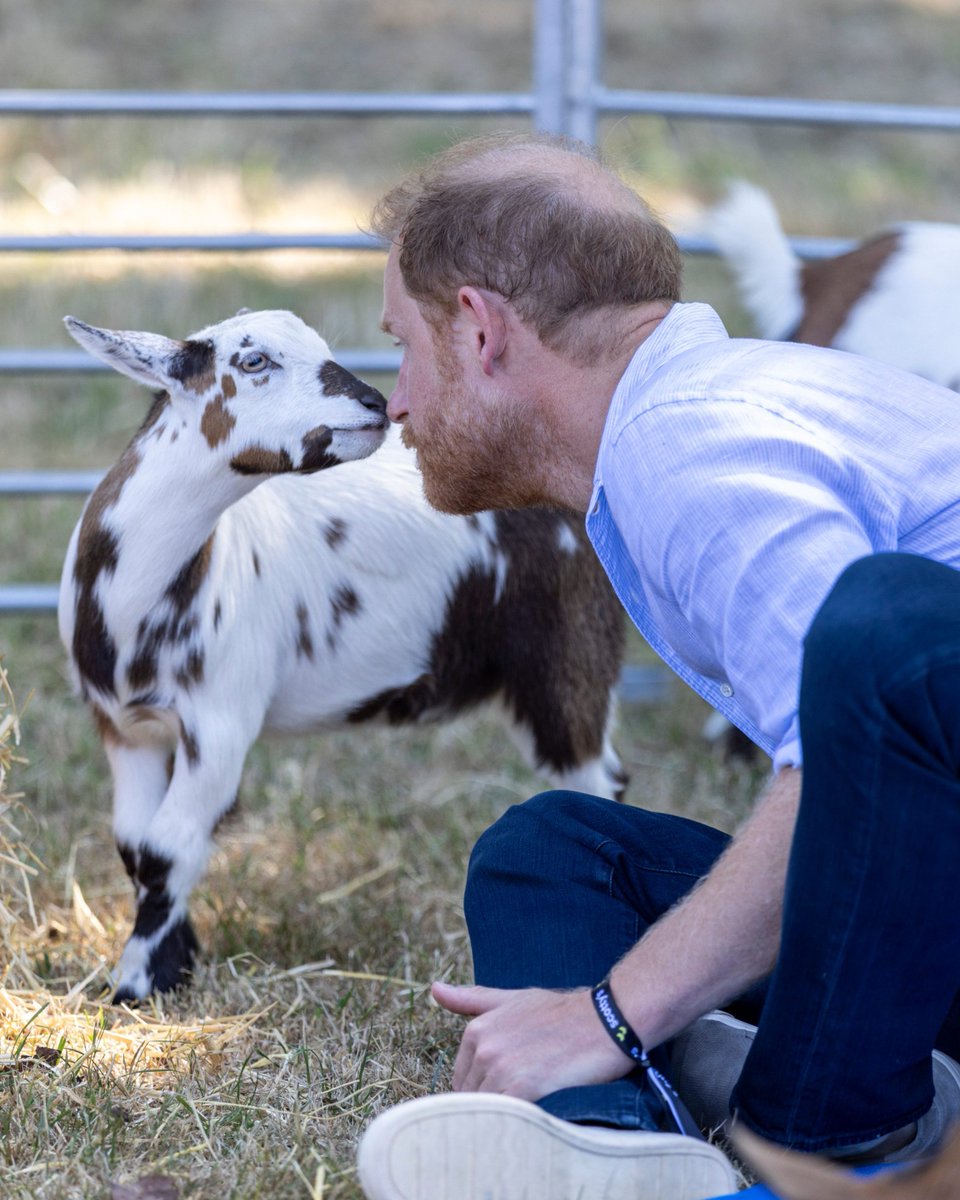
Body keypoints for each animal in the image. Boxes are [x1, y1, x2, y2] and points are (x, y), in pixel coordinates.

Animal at [59, 309, 627, 1002]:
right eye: (253, 361)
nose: (375, 404)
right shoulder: (123, 728)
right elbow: (135, 846)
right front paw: (174, 964)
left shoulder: (221, 724)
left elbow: (169, 848)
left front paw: (137, 985)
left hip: (569, 658)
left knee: (596, 779)